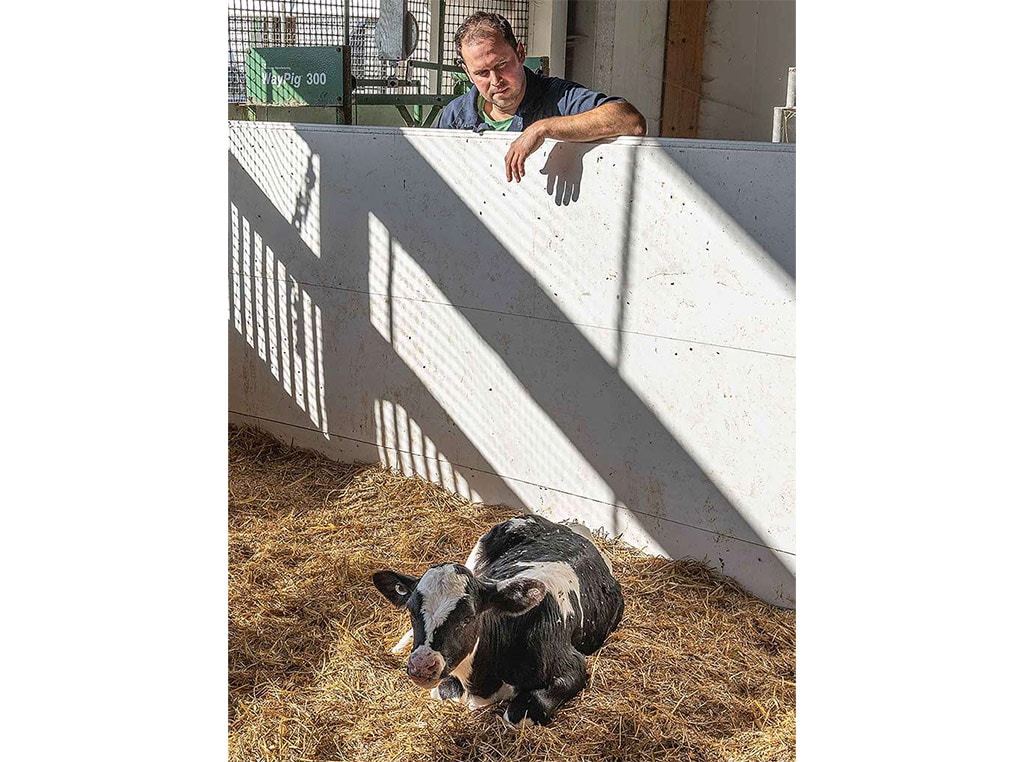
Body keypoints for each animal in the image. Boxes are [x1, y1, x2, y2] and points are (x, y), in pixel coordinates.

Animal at [370, 512, 618, 725]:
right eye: (411, 611)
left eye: (468, 618)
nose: (422, 665)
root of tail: (569, 528)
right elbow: (443, 691)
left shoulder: (573, 667)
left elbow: (515, 714)